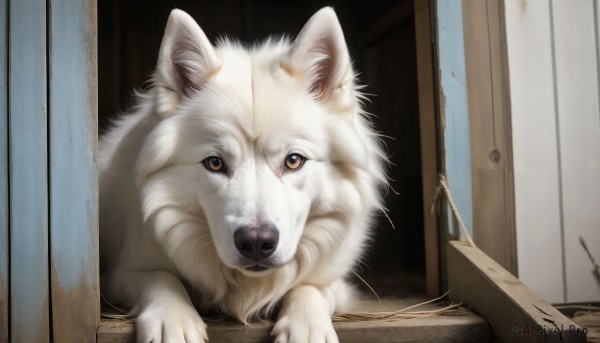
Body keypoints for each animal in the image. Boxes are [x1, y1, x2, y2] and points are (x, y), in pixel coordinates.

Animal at [99, 6, 384, 342]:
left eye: (293, 161)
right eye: (215, 163)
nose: (257, 243)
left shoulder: (335, 280)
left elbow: (307, 286)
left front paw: (305, 324)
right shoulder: (120, 274)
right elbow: (161, 278)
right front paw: (173, 320)